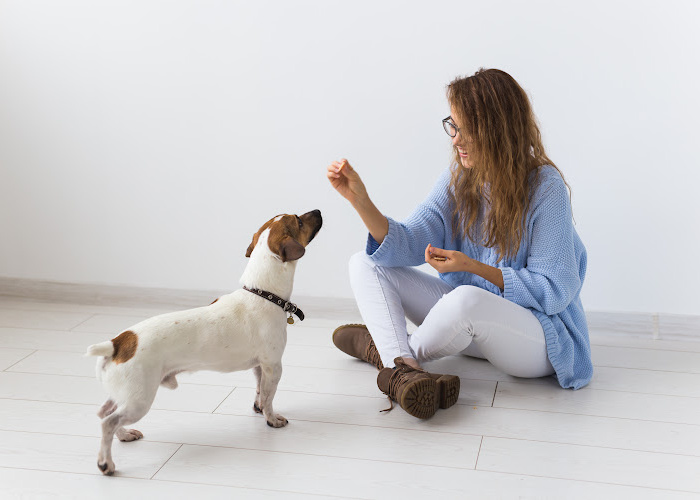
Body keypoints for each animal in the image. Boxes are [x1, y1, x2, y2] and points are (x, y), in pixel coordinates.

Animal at [85, 209, 322, 474]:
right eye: (299, 220)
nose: (319, 210)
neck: (262, 293)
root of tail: (117, 343)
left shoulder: (260, 366)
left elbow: (260, 392)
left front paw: (258, 408)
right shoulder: (273, 365)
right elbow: (270, 398)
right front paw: (271, 419)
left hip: (125, 393)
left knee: (104, 412)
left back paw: (124, 435)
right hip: (140, 399)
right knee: (108, 422)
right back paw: (106, 463)